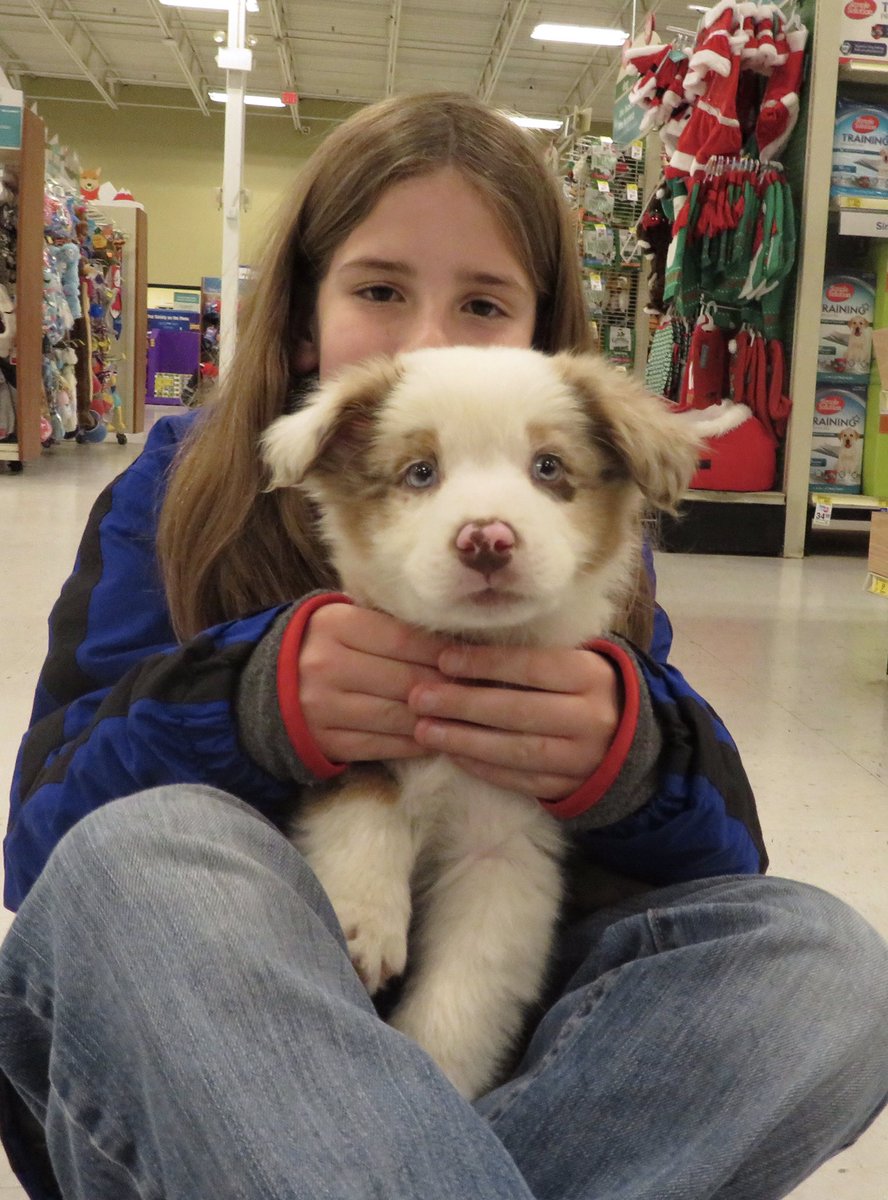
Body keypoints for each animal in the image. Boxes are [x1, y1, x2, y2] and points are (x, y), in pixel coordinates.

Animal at [260, 345, 696, 1099]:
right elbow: (368, 788)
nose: (486, 539)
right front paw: (364, 916)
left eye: (548, 467)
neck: (466, 653)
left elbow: (467, 991)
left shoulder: (507, 851)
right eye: (420, 472)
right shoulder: (354, 724)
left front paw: (438, 1071)